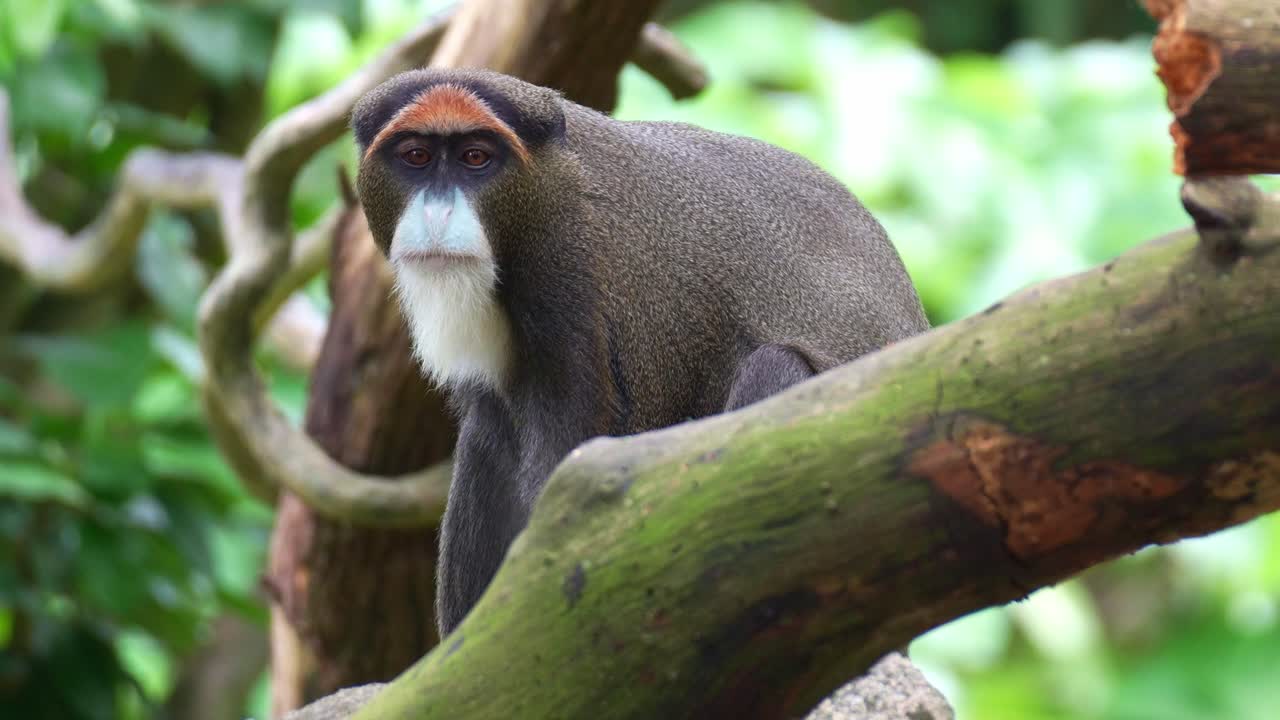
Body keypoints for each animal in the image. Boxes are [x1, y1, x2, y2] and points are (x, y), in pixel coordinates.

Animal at [350, 68, 929, 636]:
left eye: (475, 158)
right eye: (416, 157)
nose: (438, 213)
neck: (541, 191)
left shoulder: (572, 274)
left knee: (776, 368)